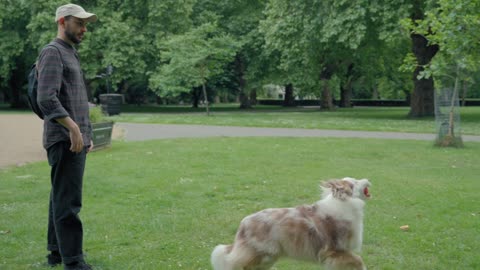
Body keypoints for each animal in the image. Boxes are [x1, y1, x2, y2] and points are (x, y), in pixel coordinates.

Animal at [210, 177, 372, 270]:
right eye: (355, 182)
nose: (368, 179)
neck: (345, 201)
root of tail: (243, 224)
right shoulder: (335, 250)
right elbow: (359, 260)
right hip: (260, 253)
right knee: (232, 263)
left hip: (268, 256)